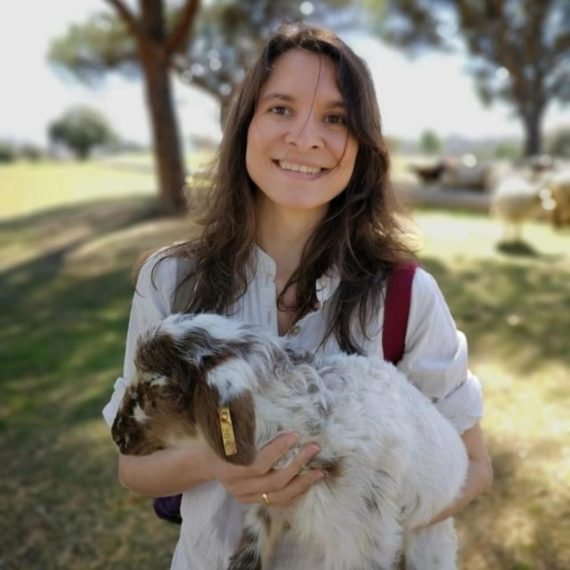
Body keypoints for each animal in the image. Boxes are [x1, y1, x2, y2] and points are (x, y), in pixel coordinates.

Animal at [112, 313, 468, 570]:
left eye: (162, 394)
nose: (117, 435)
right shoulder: (270, 505)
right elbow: (248, 552)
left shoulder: (358, 532)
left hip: (429, 538)